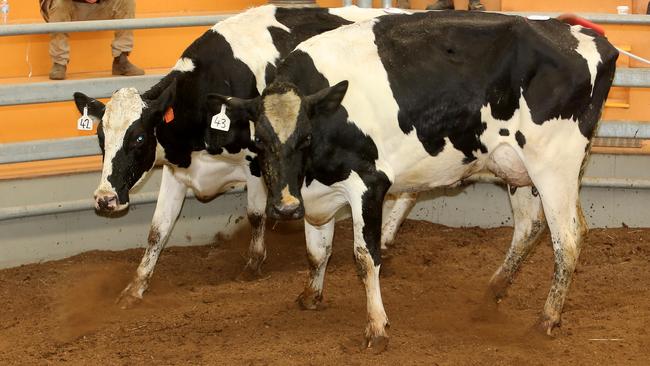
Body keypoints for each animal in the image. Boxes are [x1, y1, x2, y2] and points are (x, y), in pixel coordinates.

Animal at [72, 5, 416, 308]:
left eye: (139, 137)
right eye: (101, 137)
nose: (105, 199)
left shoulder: (256, 161)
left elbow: (255, 215)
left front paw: (253, 264)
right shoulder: (177, 169)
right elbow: (158, 229)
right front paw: (136, 286)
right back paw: (386, 238)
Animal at [213, 10, 616, 348]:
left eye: (306, 138)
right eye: (259, 141)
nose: (284, 208)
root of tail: (586, 38)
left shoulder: (369, 183)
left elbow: (365, 256)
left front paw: (377, 327)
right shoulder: (315, 195)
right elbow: (316, 251)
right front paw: (311, 296)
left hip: (553, 165)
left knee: (568, 238)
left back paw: (547, 319)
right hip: (518, 168)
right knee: (530, 227)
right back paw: (492, 293)